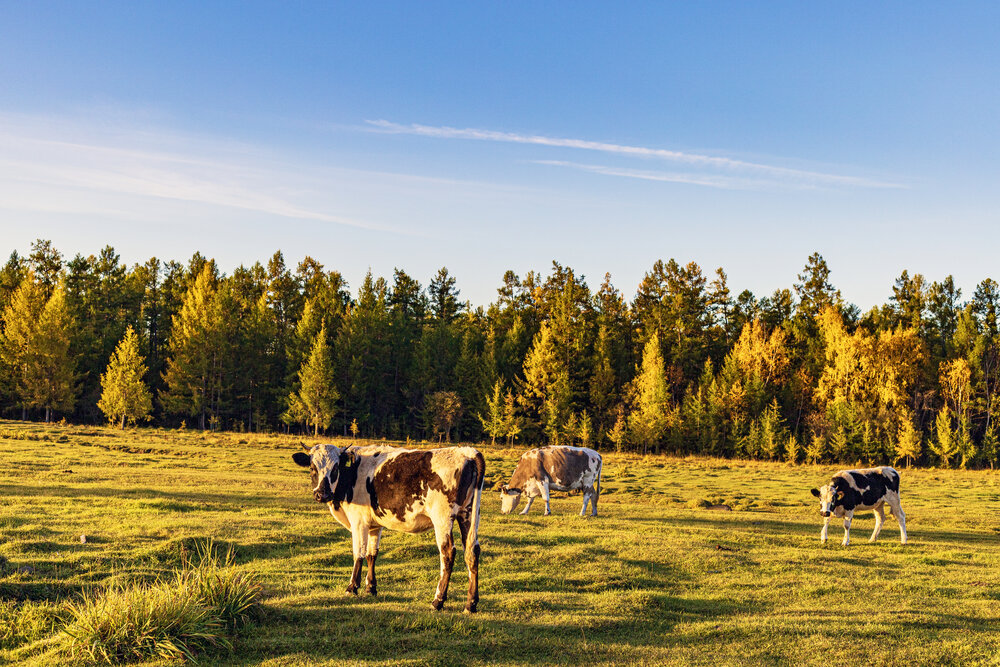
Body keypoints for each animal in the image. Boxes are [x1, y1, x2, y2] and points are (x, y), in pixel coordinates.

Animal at [292, 443, 485, 613]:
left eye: (335, 468)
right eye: (312, 468)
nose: (322, 494)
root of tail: (467, 452)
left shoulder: (358, 521)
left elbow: (358, 553)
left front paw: (352, 588)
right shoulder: (374, 525)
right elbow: (371, 554)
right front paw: (371, 588)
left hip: (443, 518)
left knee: (448, 554)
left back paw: (437, 601)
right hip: (468, 515)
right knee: (472, 552)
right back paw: (470, 604)